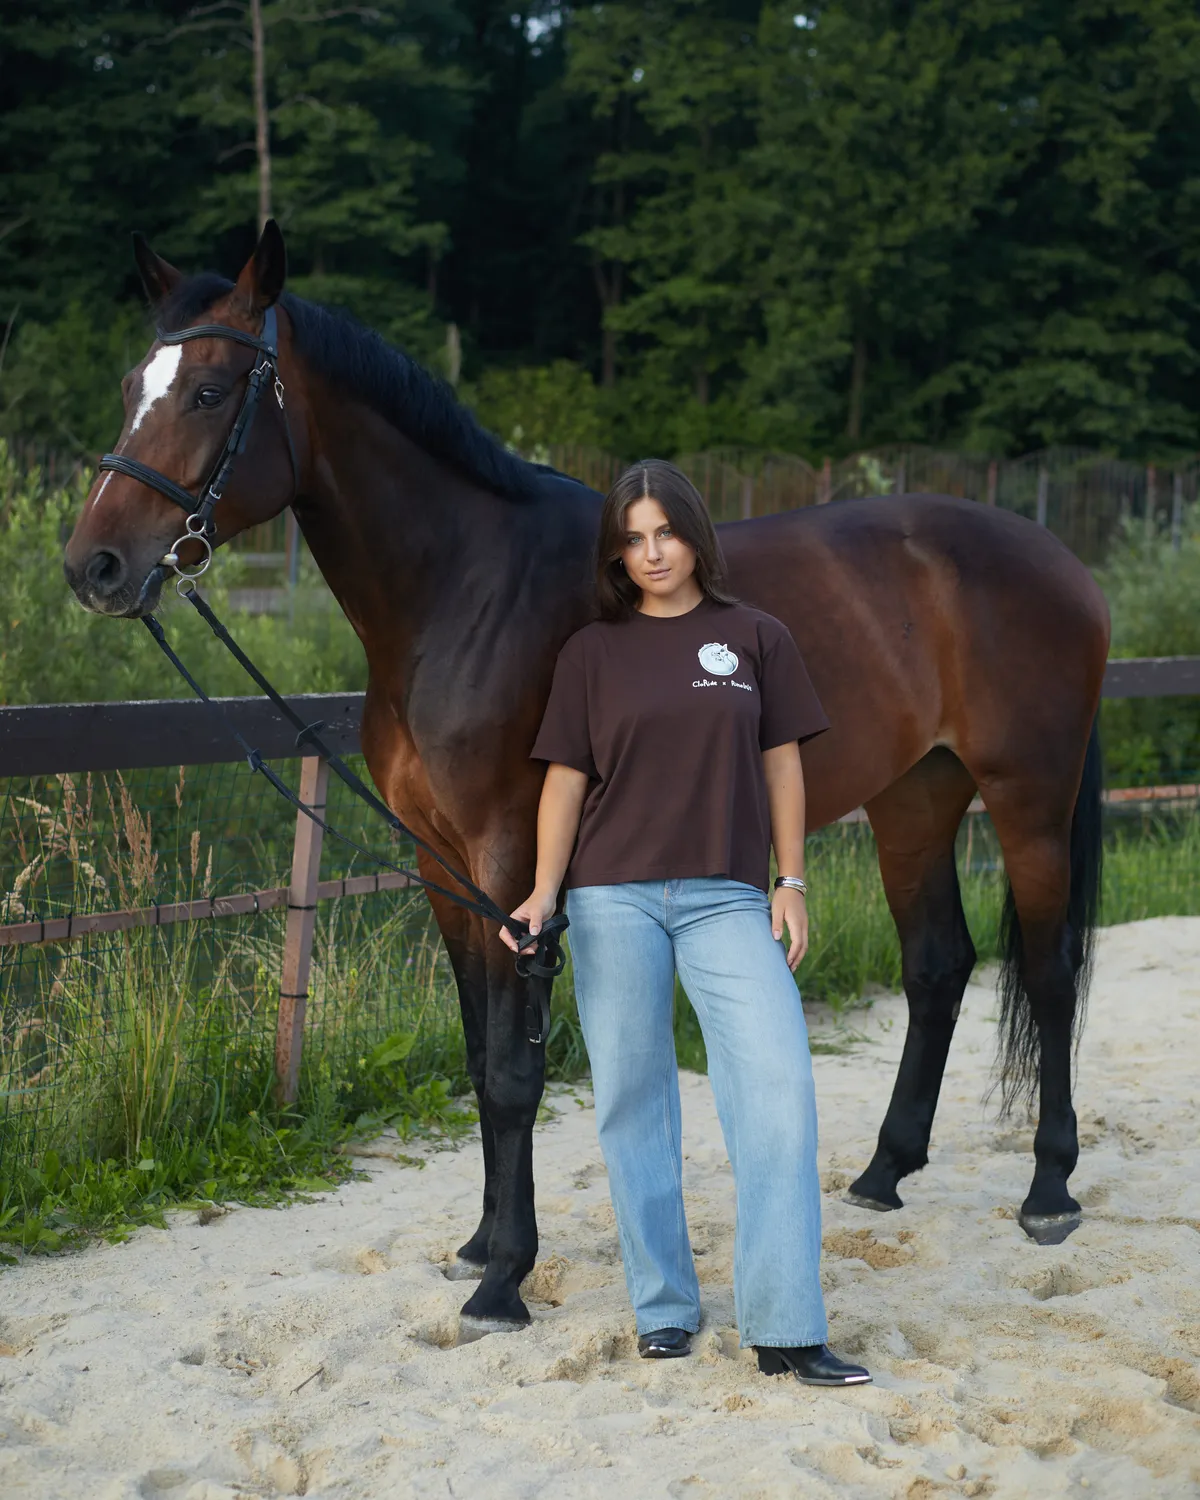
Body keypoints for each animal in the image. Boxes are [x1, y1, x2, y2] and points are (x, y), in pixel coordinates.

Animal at [64, 222, 1110, 1329]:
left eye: (210, 391)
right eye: (133, 384)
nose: (94, 566)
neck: (466, 592)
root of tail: (1058, 558)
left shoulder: (516, 860)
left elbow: (515, 1075)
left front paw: (505, 1278)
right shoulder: (443, 868)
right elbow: (479, 1060)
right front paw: (481, 1245)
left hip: (1028, 799)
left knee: (1049, 972)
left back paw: (1049, 1190)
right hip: (915, 797)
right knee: (938, 965)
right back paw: (882, 1171)